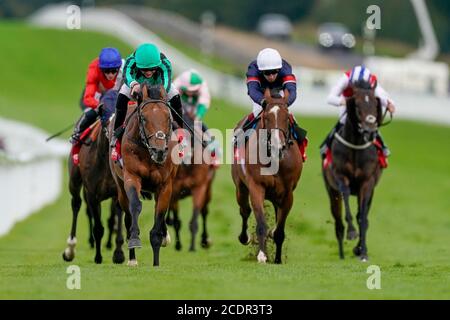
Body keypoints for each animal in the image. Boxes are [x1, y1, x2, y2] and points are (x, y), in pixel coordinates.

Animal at [62, 90, 124, 264]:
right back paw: (70, 249)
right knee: (76, 204)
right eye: (104, 111)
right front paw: (98, 257)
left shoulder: (118, 191)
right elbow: (98, 228)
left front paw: (118, 253)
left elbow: (117, 221)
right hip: (75, 181)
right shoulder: (92, 193)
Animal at [109, 83, 178, 268]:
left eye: (168, 118)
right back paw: (132, 258)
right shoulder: (131, 177)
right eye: (144, 119)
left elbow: (159, 215)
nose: (159, 151)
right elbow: (135, 206)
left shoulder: (165, 185)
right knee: (127, 216)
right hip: (120, 187)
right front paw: (134, 240)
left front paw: (156, 261)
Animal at [167, 113, 216, 252]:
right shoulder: (174, 190)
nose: (185, 158)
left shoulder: (199, 187)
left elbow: (195, 219)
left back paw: (205, 240)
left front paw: (193, 247)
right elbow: (177, 221)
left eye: (191, 137)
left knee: (204, 211)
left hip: (208, 188)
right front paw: (178, 245)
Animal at [232, 89, 302, 264]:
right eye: (267, 117)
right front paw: (262, 255)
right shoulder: (256, 187)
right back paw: (244, 237)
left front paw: (277, 259)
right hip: (240, 188)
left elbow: (279, 230)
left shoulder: (288, 194)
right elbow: (261, 223)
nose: (278, 146)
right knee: (244, 210)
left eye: (286, 117)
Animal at [324, 86, 384, 262]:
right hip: (331, 191)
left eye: (375, 104)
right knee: (338, 222)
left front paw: (362, 251)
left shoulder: (367, 182)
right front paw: (351, 232)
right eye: (357, 105)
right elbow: (345, 197)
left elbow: (363, 218)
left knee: (362, 215)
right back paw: (342, 254)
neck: (356, 146)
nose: (370, 130)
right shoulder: (340, 177)